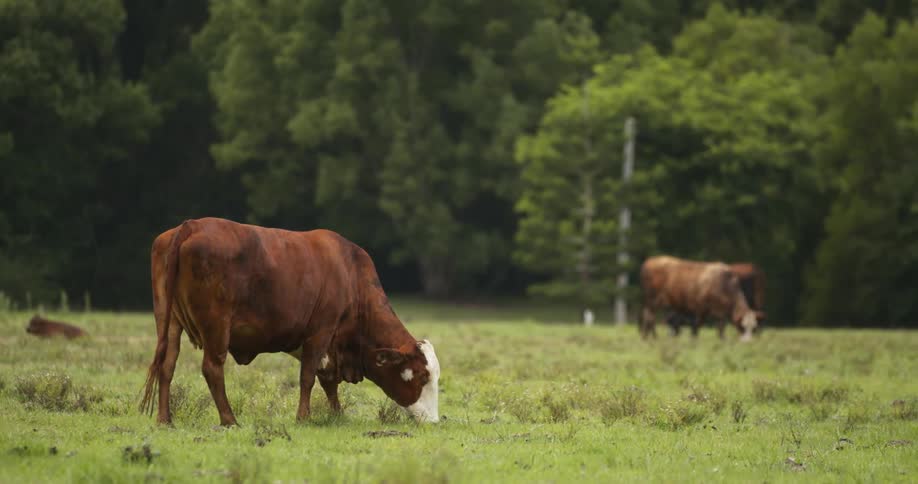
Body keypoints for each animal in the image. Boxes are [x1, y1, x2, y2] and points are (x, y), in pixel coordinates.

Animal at [139, 218, 441, 427]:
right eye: (422, 376)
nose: (434, 421)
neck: (351, 276)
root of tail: (191, 225)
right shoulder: (320, 333)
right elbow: (308, 377)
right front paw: (304, 417)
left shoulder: (329, 347)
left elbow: (327, 381)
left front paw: (337, 414)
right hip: (216, 327)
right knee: (212, 369)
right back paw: (229, 420)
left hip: (169, 320)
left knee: (167, 364)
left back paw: (165, 419)